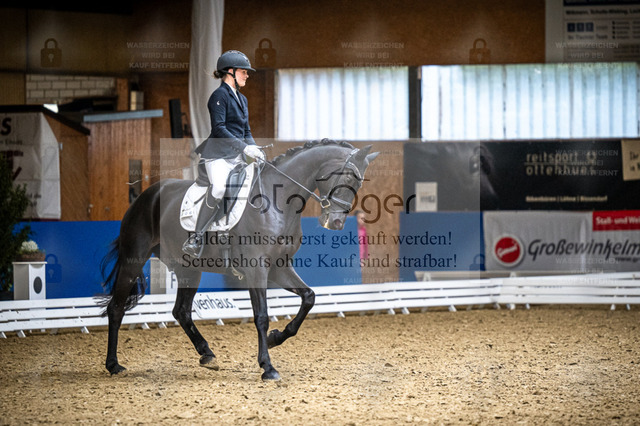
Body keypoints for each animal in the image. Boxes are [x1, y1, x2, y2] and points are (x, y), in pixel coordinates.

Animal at [100, 139, 379, 381]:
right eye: (347, 177)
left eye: (359, 182)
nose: (336, 223)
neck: (278, 202)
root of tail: (145, 195)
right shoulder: (257, 270)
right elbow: (262, 316)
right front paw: (268, 367)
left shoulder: (279, 268)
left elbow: (309, 297)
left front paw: (277, 338)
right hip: (133, 261)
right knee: (116, 308)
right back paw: (113, 365)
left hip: (189, 269)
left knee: (181, 311)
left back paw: (207, 355)